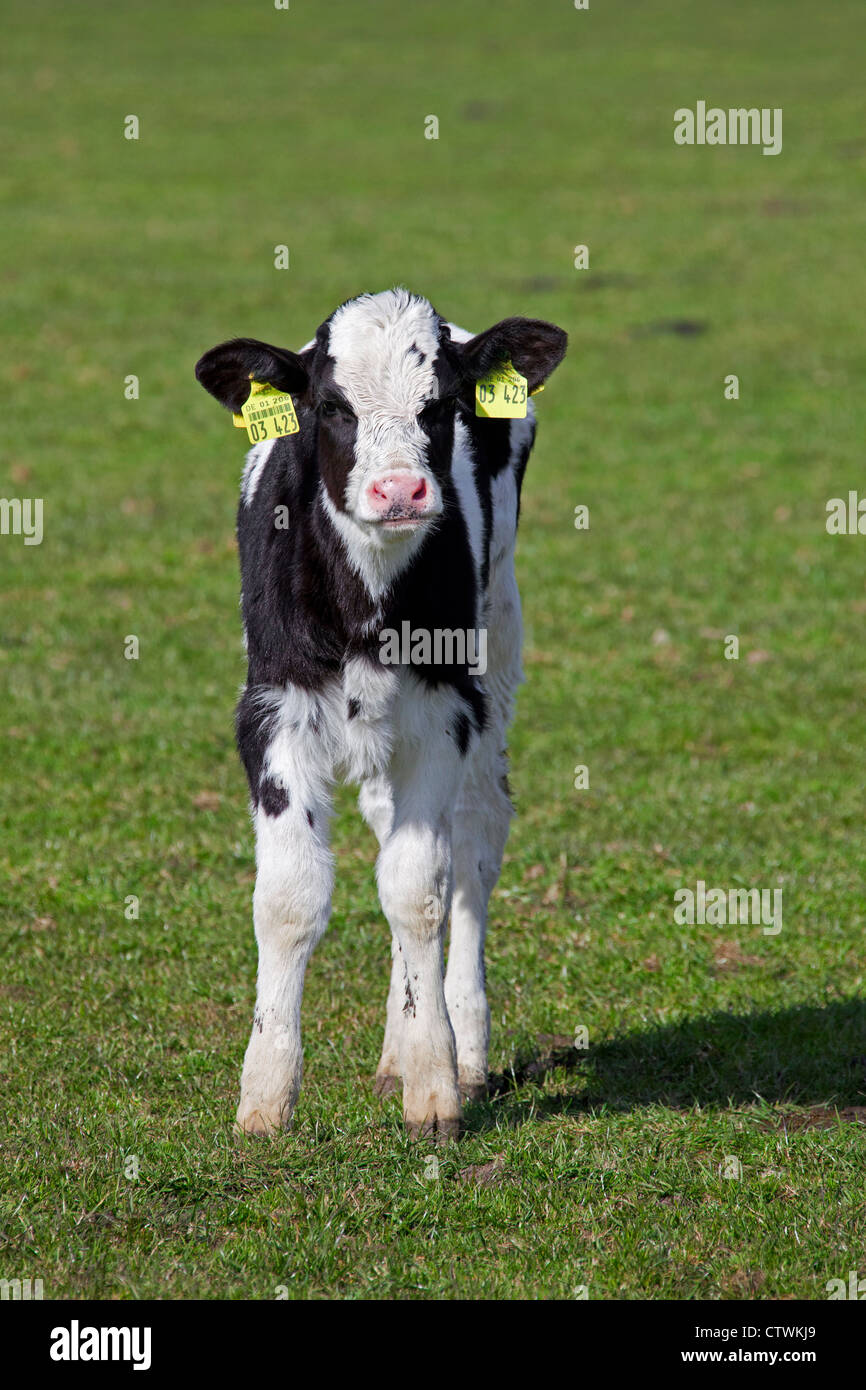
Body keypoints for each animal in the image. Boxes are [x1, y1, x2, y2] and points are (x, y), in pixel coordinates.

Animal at [194, 287, 569, 1134]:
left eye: (442, 406)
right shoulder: (272, 709)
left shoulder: (443, 712)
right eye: (331, 406)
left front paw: (434, 1084)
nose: (399, 492)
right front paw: (265, 1095)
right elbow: (289, 895)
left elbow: (417, 888)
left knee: (474, 839)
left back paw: (461, 1047)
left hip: (497, 648)